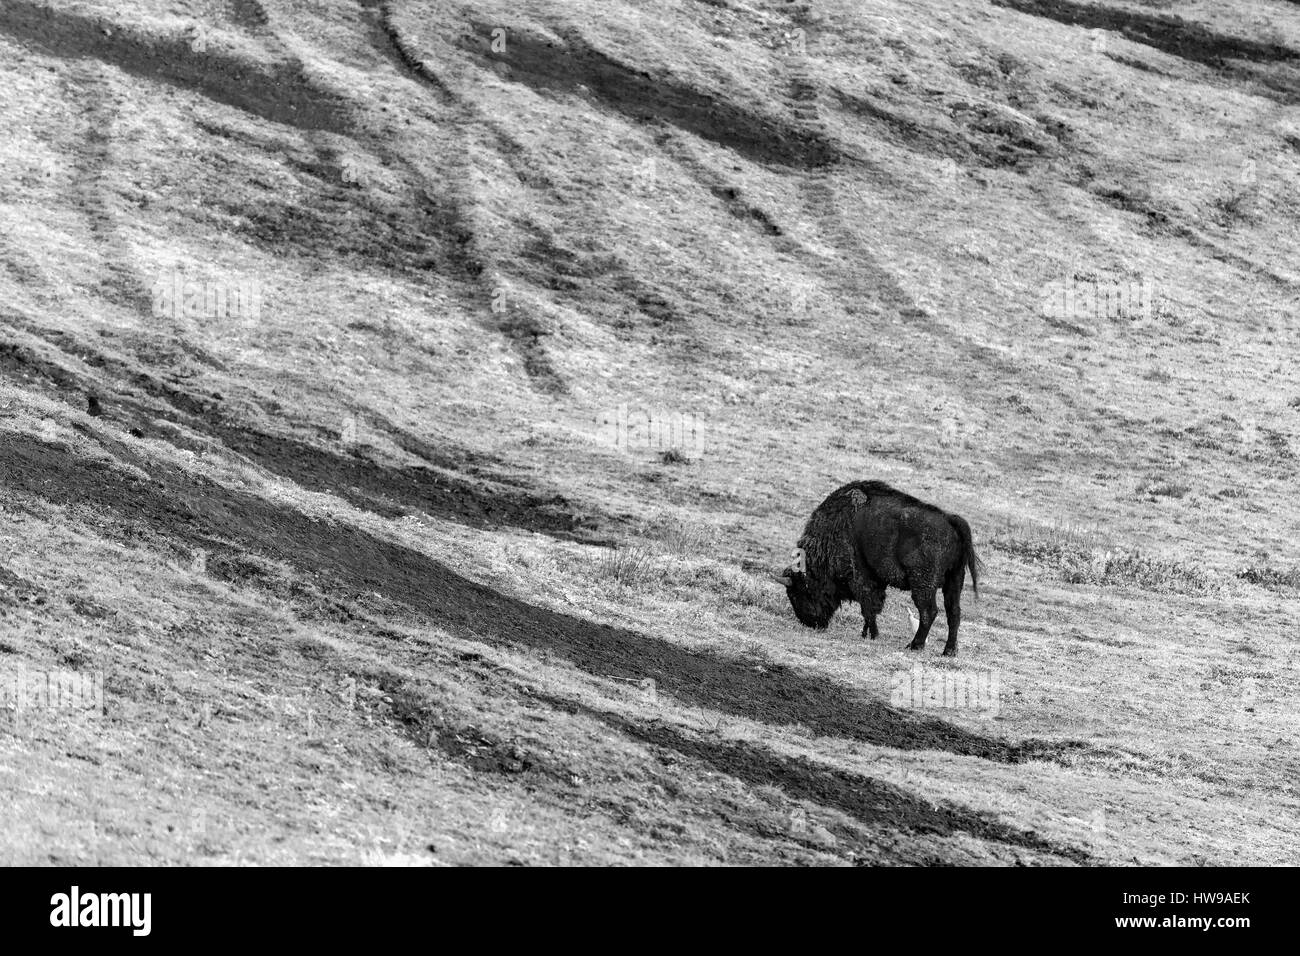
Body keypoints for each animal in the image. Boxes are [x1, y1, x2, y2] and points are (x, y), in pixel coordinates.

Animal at [773, 480, 982, 656]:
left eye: (797, 593)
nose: (811, 623)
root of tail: (951, 520)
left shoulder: (861, 577)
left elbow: (868, 606)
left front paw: (873, 635)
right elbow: (872, 607)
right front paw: (866, 633)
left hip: (923, 584)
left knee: (929, 612)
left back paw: (914, 645)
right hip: (954, 581)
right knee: (953, 613)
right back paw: (949, 651)